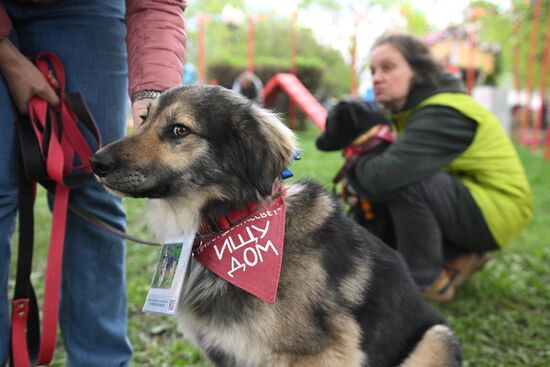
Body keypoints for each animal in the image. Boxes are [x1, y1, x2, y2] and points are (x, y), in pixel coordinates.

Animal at [89, 85, 462, 367]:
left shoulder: (320, 355)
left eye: (179, 129)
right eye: (143, 119)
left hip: (436, 338)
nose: (95, 162)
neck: (231, 225)